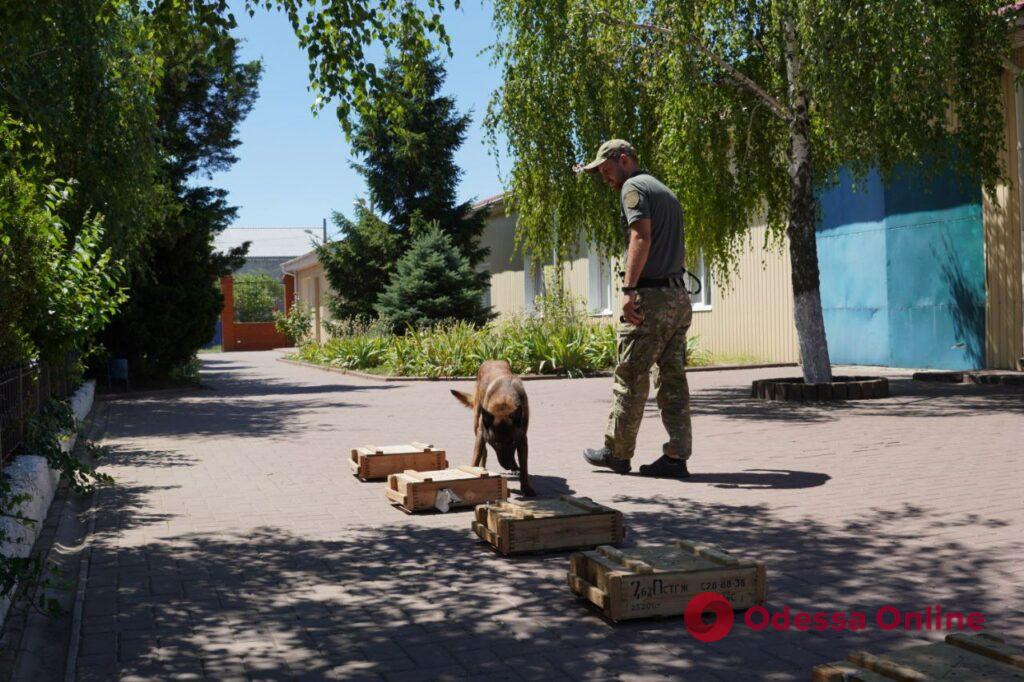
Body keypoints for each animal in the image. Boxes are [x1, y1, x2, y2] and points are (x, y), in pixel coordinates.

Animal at [454, 358, 536, 497]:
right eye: (496, 443)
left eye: (512, 442)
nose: (508, 465)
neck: (504, 401)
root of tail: (492, 360)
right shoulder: (482, 433)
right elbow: (476, 456)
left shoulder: (522, 439)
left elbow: (524, 466)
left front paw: (526, 488)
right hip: (477, 424)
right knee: (483, 451)